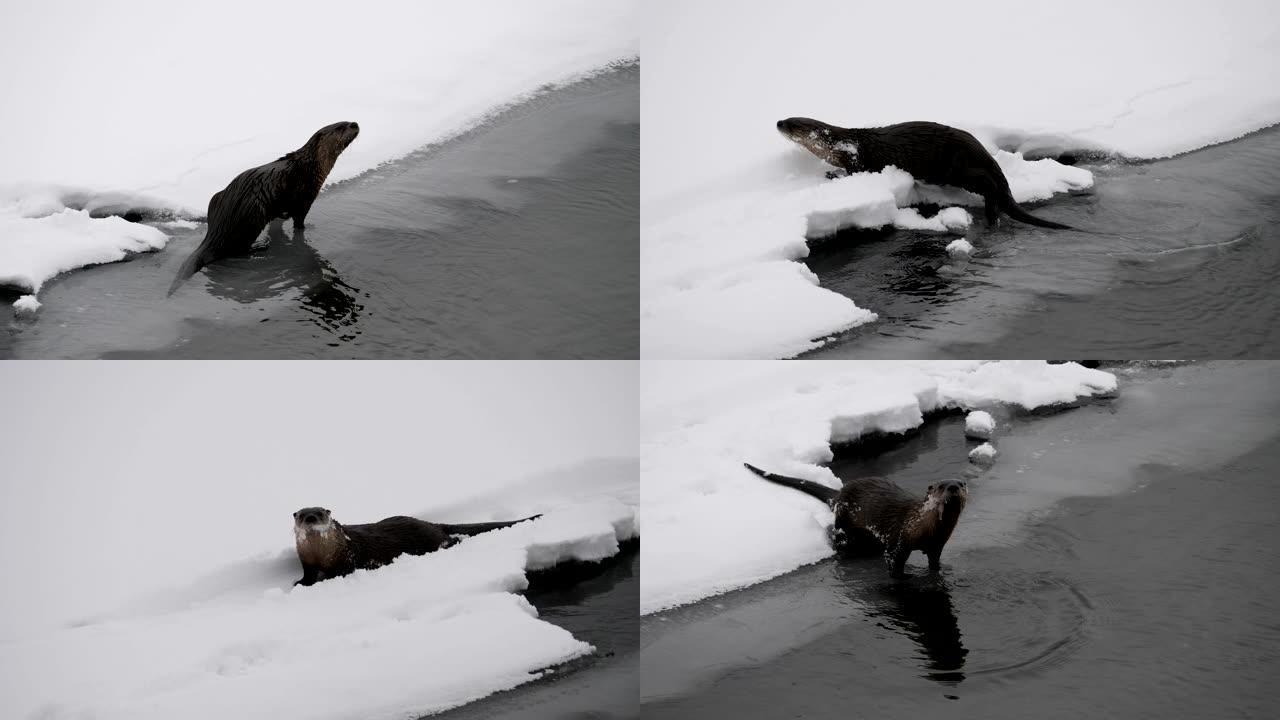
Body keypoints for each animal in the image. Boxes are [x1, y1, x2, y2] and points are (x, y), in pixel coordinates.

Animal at [167, 120, 363, 294]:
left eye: (346, 120)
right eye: (340, 126)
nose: (354, 123)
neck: (310, 167)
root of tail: (216, 229)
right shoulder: (305, 198)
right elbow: (299, 220)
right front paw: (306, 228)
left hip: (215, 200)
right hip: (252, 216)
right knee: (236, 249)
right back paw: (260, 246)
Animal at [290, 504, 540, 584]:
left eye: (320, 513)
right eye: (301, 515)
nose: (310, 518)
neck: (321, 553)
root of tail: (430, 524)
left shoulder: (348, 556)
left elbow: (342, 571)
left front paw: (327, 579)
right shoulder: (306, 559)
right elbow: (308, 573)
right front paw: (301, 583)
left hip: (431, 539)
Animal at [742, 461, 967, 573]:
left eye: (962, 483)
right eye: (940, 486)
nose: (953, 487)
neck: (923, 528)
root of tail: (839, 493)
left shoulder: (937, 545)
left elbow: (934, 562)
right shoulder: (899, 540)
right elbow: (894, 561)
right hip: (844, 519)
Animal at [778, 117, 1070, 228]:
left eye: (791, 124)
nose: (778, 121)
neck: (840, 144)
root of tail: (979, 148)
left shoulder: (856, 158)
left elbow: (854, 172)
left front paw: (831, 176)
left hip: (956, 168)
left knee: (987, 183)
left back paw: (991, 214)